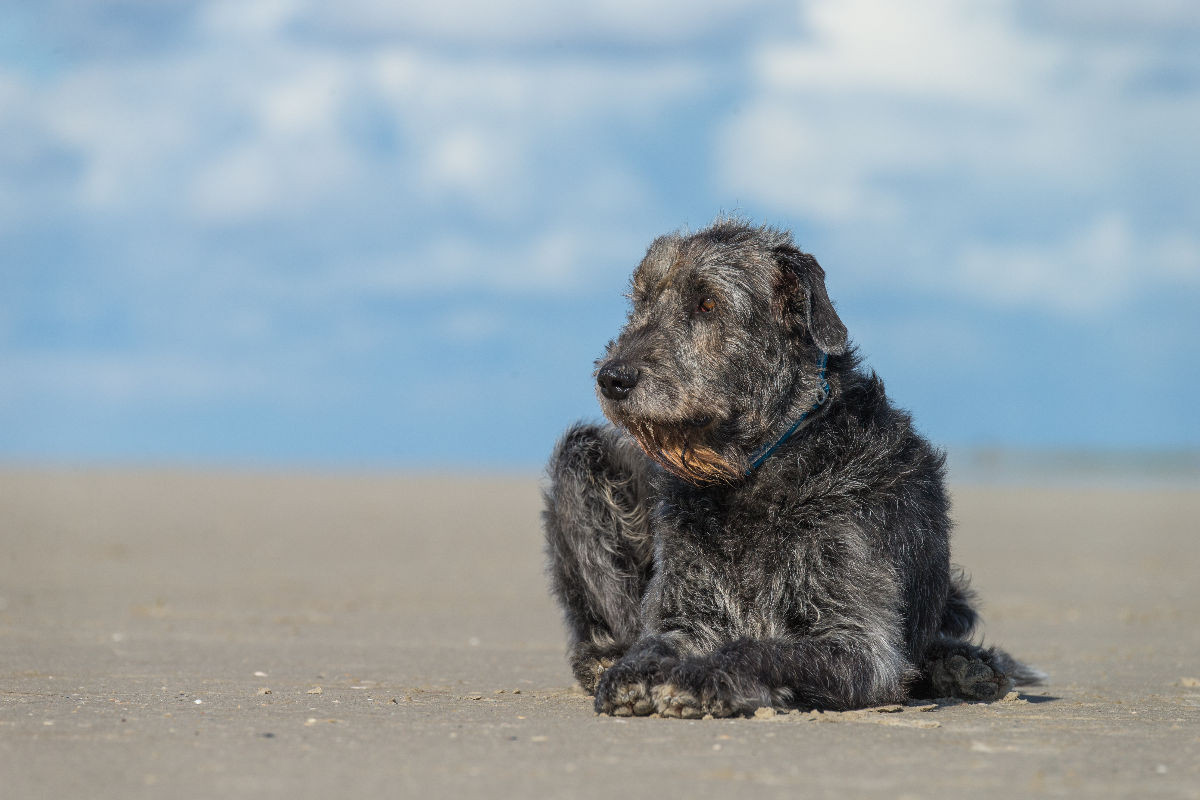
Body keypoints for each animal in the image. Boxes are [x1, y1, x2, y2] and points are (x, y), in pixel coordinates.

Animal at [544, 220, 1041, 719]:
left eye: (707, 303)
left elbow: (763, 649)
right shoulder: (683, 610)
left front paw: (703, 675)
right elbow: (656, 641)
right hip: (580, 457)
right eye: (641, 301)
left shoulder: (857, 642)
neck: (753, 472)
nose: (612, 378)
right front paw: (634, 670)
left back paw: (964, 666)